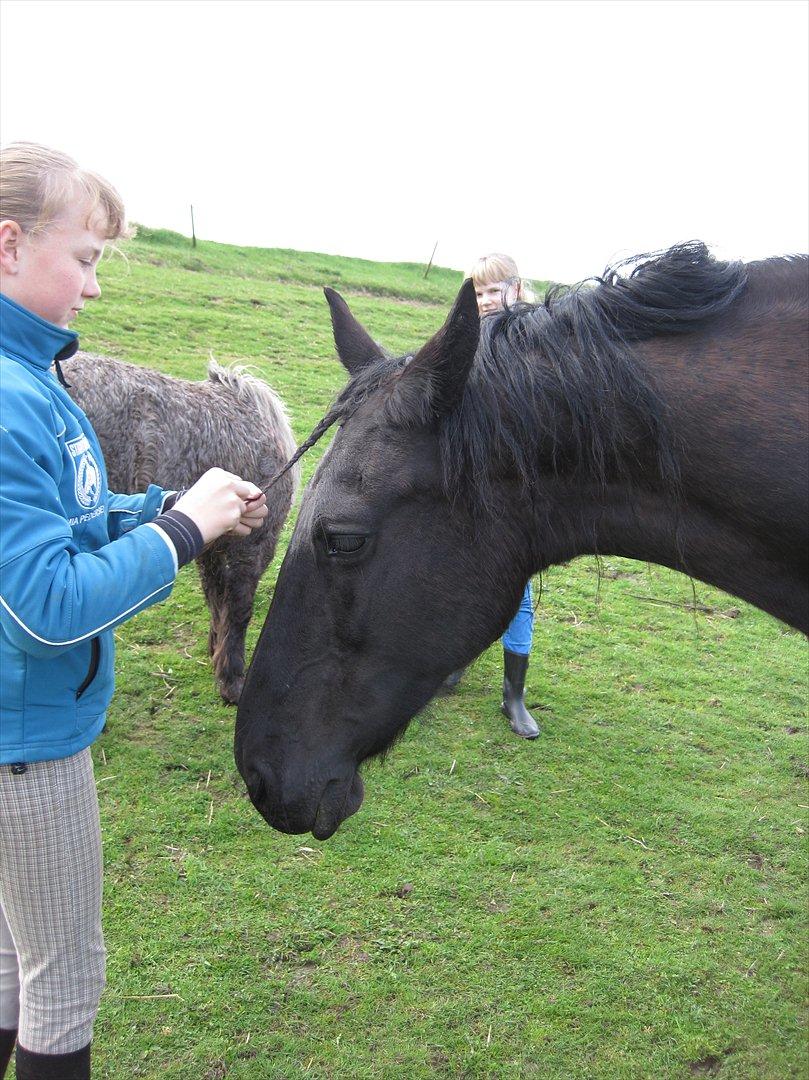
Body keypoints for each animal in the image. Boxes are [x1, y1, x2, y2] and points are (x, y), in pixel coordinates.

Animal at [62, 354, 295, 704]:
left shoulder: (212, 549)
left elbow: (216, 599)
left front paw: (216, 654)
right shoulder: (252, 547)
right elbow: (239, 610)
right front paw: (232, 682)